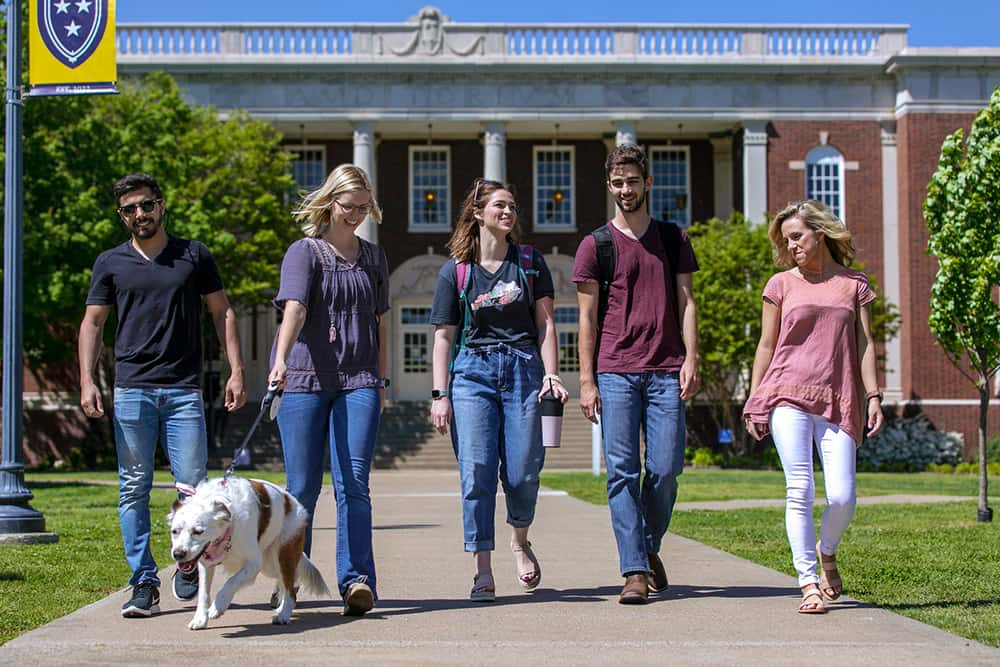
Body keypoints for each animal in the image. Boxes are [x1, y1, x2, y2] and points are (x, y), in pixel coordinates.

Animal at [169, 478, 328, 628]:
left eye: (198, 532)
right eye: (174, 531)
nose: (178, 554)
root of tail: (296, 505)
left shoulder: (254, 563)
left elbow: (231, 582)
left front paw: (217, 607)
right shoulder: (205, 564)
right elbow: (203, 593)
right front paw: (200, 619)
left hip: (282, 555)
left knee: (290, 589)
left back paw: (283, 614)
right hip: (270, 565)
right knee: (285, 583)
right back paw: (281, 608)